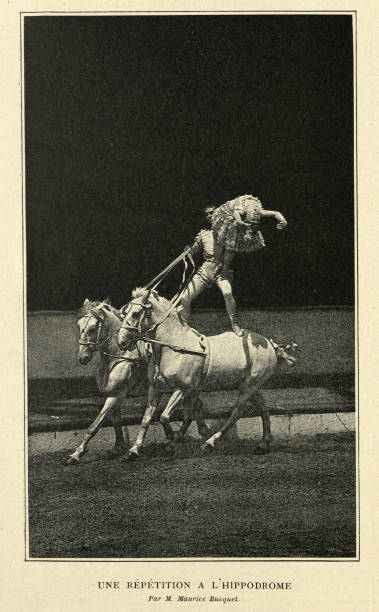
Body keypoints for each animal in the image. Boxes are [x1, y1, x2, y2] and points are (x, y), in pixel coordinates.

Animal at [70, 298, 209, 464]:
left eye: (92, 328)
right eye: (79, 326)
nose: (82, 357)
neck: (119, 354)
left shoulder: (116, 395)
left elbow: (95, 425)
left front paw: (77, 453)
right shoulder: (113, 393)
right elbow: (116, 421)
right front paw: (117, 447)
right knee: (197, 406)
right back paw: (200, 432)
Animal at [119, 286, 296, 454]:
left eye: (136, 313)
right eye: (125, 313)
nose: (121, 342)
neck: (174, 346)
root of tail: (271, 345)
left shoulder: (183, 388)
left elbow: (165, 417)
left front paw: (171, 438)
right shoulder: (156, 388)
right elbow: (147, 418)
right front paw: (133, 450)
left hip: (249, 386)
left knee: (237, 412)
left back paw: (209, 443)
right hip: (250, 385)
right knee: (264, 408)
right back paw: (263, 444)